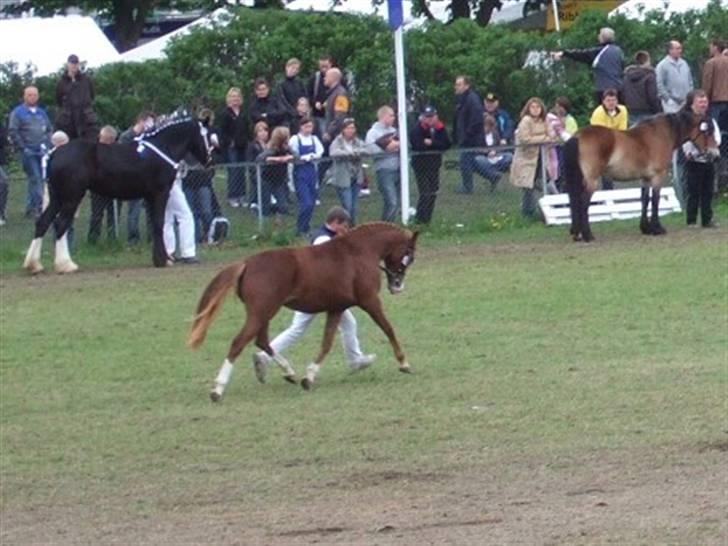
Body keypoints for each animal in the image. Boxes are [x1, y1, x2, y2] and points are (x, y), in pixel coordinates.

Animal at [23, 113, 216, 272]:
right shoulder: (160, 193)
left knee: (43, 222)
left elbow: (156, 224)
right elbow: (159, 223)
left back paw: (34, 265)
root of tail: (54, 153)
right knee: (61, 224)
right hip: (72, 197)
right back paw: (65, 265)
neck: (162, 148)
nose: (209, 162)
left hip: (57, 197)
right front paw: (162, 260)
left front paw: (163, 258)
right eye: (209, 136)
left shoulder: (150, 197)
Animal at [188, 222, 418, 400]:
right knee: (239, 343)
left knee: (261, 341)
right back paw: (217, 390)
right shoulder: (369, 301)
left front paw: (309, 377)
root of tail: (246, 263)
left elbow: (327, 343)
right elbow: (388, 329)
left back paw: (288, 372)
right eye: (409, 255)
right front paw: (404, 363)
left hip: (263, 313)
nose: (397, 286)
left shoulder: (336, 308)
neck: (359, 251)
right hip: (262, 312)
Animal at [564, 108, 716, 240]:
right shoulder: (657, 177)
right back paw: (587, 235)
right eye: (708, 133)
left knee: (575, 201)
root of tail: (578, 136)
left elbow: (645, 200)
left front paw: (646, 228)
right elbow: (655, 200)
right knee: (583, 203)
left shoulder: (645, 179)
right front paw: (657, 228)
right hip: (592, 181)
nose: (714, 154)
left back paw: (577, 234)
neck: (661, 134)